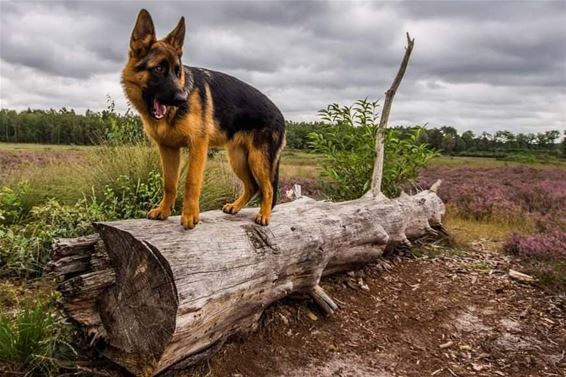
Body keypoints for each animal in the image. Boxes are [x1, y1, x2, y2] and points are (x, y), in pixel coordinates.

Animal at [122, 10, 286, 228]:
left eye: (177, 71)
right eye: (158, 69)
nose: (181, 99)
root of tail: (280, 114)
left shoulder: (198, 145)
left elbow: (191, 181)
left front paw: (190, 215)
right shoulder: (168, 150)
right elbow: (169, 183)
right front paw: (164, 211)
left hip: (257, 159)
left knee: (267, 188)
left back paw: (264, 215)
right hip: (238, 159)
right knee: (252, 186)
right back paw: (235, 207)